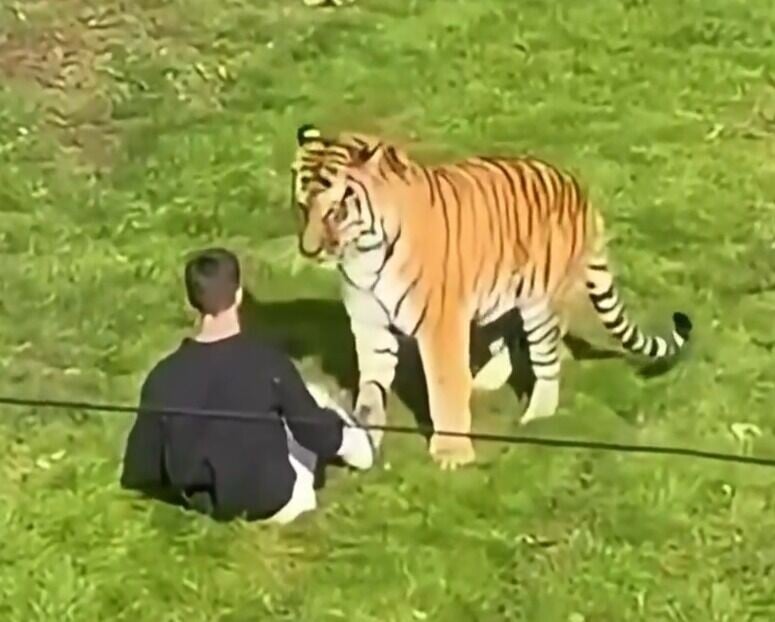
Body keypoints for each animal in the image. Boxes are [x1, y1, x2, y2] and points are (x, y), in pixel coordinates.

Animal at [290, 124, 693, 470]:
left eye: (336, 209)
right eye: (302, 206)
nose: (309, 250)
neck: (364, 253)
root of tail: (580, 191)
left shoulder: (439, 325)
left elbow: (444, 386)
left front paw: (452, 455)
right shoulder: (369, 325)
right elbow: (371, 388)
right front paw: (367, 436)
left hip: (539, 304)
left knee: (547, 360)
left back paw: (536, 416)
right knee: (507, 335)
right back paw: (484, 380)